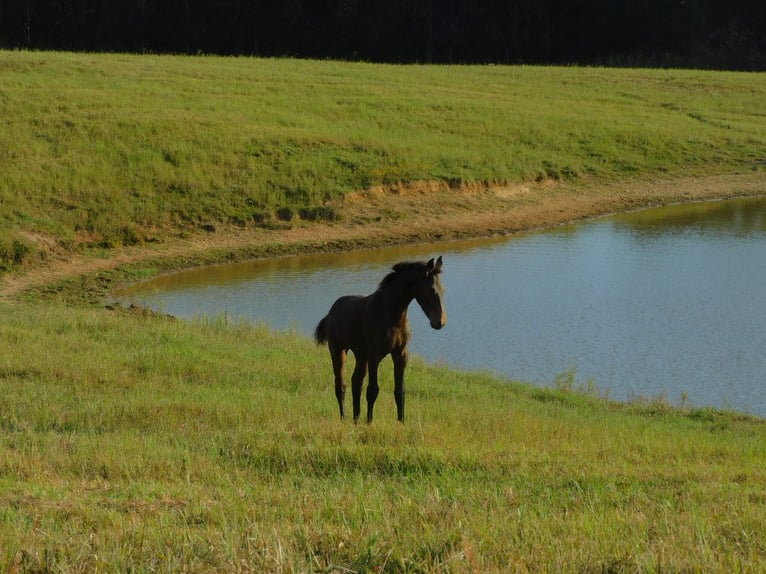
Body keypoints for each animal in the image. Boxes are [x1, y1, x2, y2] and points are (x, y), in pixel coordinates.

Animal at [314, 257, 446, 423]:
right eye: (431, 290)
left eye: (443, 290)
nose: (440, 322)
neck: (392, 317)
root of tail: (331, 311)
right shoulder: (374, 355)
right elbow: (373, 390)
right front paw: (369, 422)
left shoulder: (401, 354)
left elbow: (400, 391)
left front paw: (401, 422)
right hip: (338, 350)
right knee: (341, 385)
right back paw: (344, 418)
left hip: (360, 355)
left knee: (356, 382)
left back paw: (356, 419)